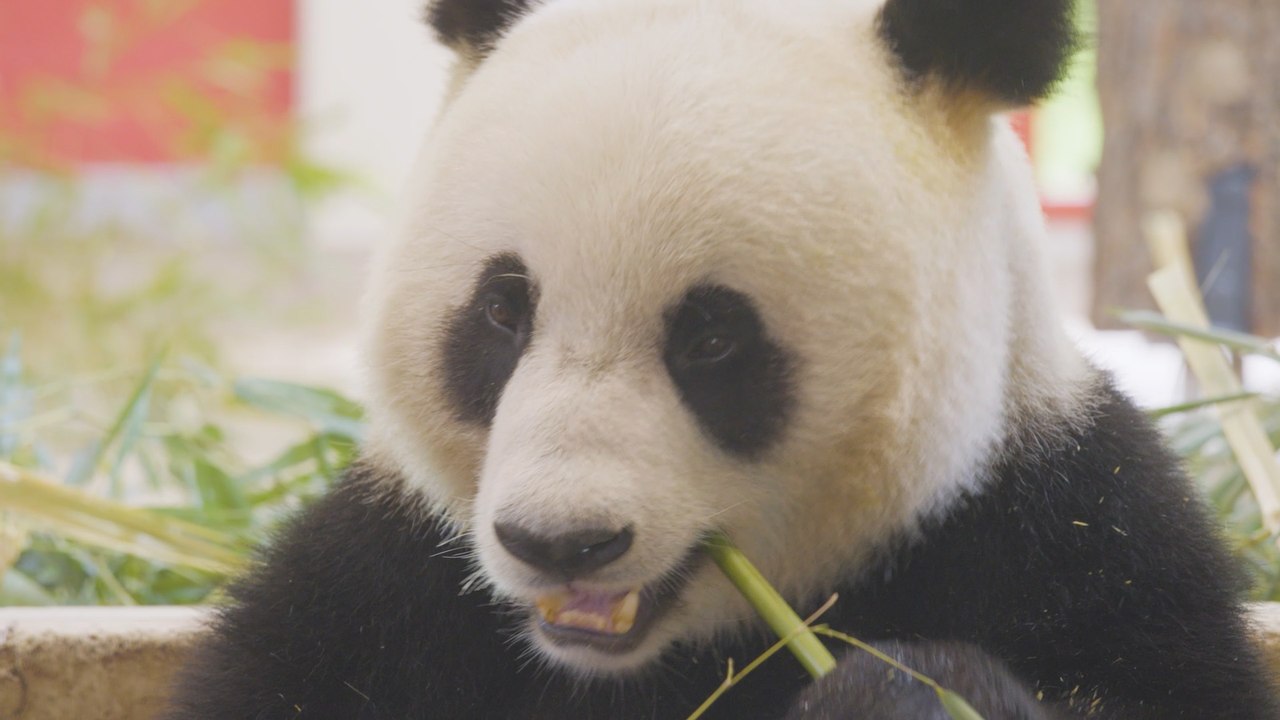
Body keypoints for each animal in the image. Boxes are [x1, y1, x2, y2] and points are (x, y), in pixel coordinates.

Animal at [165, 0, 1280, 717]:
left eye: (710, 339)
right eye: (501, 312)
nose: (560, 542)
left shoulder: (1064, 530)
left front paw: (903, 690)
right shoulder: (391, 581)